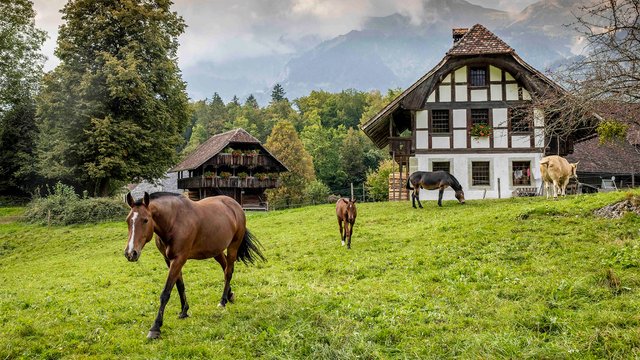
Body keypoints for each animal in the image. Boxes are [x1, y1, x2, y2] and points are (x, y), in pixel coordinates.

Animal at [124, 193, 264, 338]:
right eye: (128, 220)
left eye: (145, 220)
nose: (131, 253)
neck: (174, 221)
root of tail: (235, 205)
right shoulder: (169, 260)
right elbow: (180, 286)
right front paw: (184, 311)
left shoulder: (179, 259)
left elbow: (166, 292)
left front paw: (155, 328)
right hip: (216, 250)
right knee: (225, 266)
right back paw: (229, 296)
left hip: (233, 247)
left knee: (228, 272)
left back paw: (223, 300)